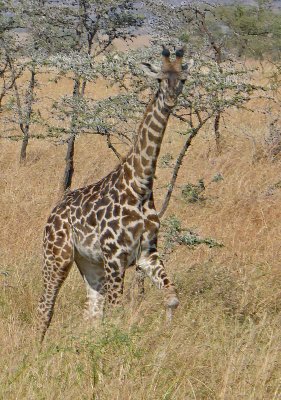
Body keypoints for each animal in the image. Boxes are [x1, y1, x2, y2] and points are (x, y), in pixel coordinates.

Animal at [37, 46, 191, 340]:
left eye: (182, 80)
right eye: (159, 79)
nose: (170, 100)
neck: (140, 186)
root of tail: (53, 213)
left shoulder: (146, 254)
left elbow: (173, 298)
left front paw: (167, 335)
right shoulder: (115, 256)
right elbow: (118, 313)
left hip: (90, 264)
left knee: (91, 312)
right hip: (57, 256)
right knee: (45, 307)